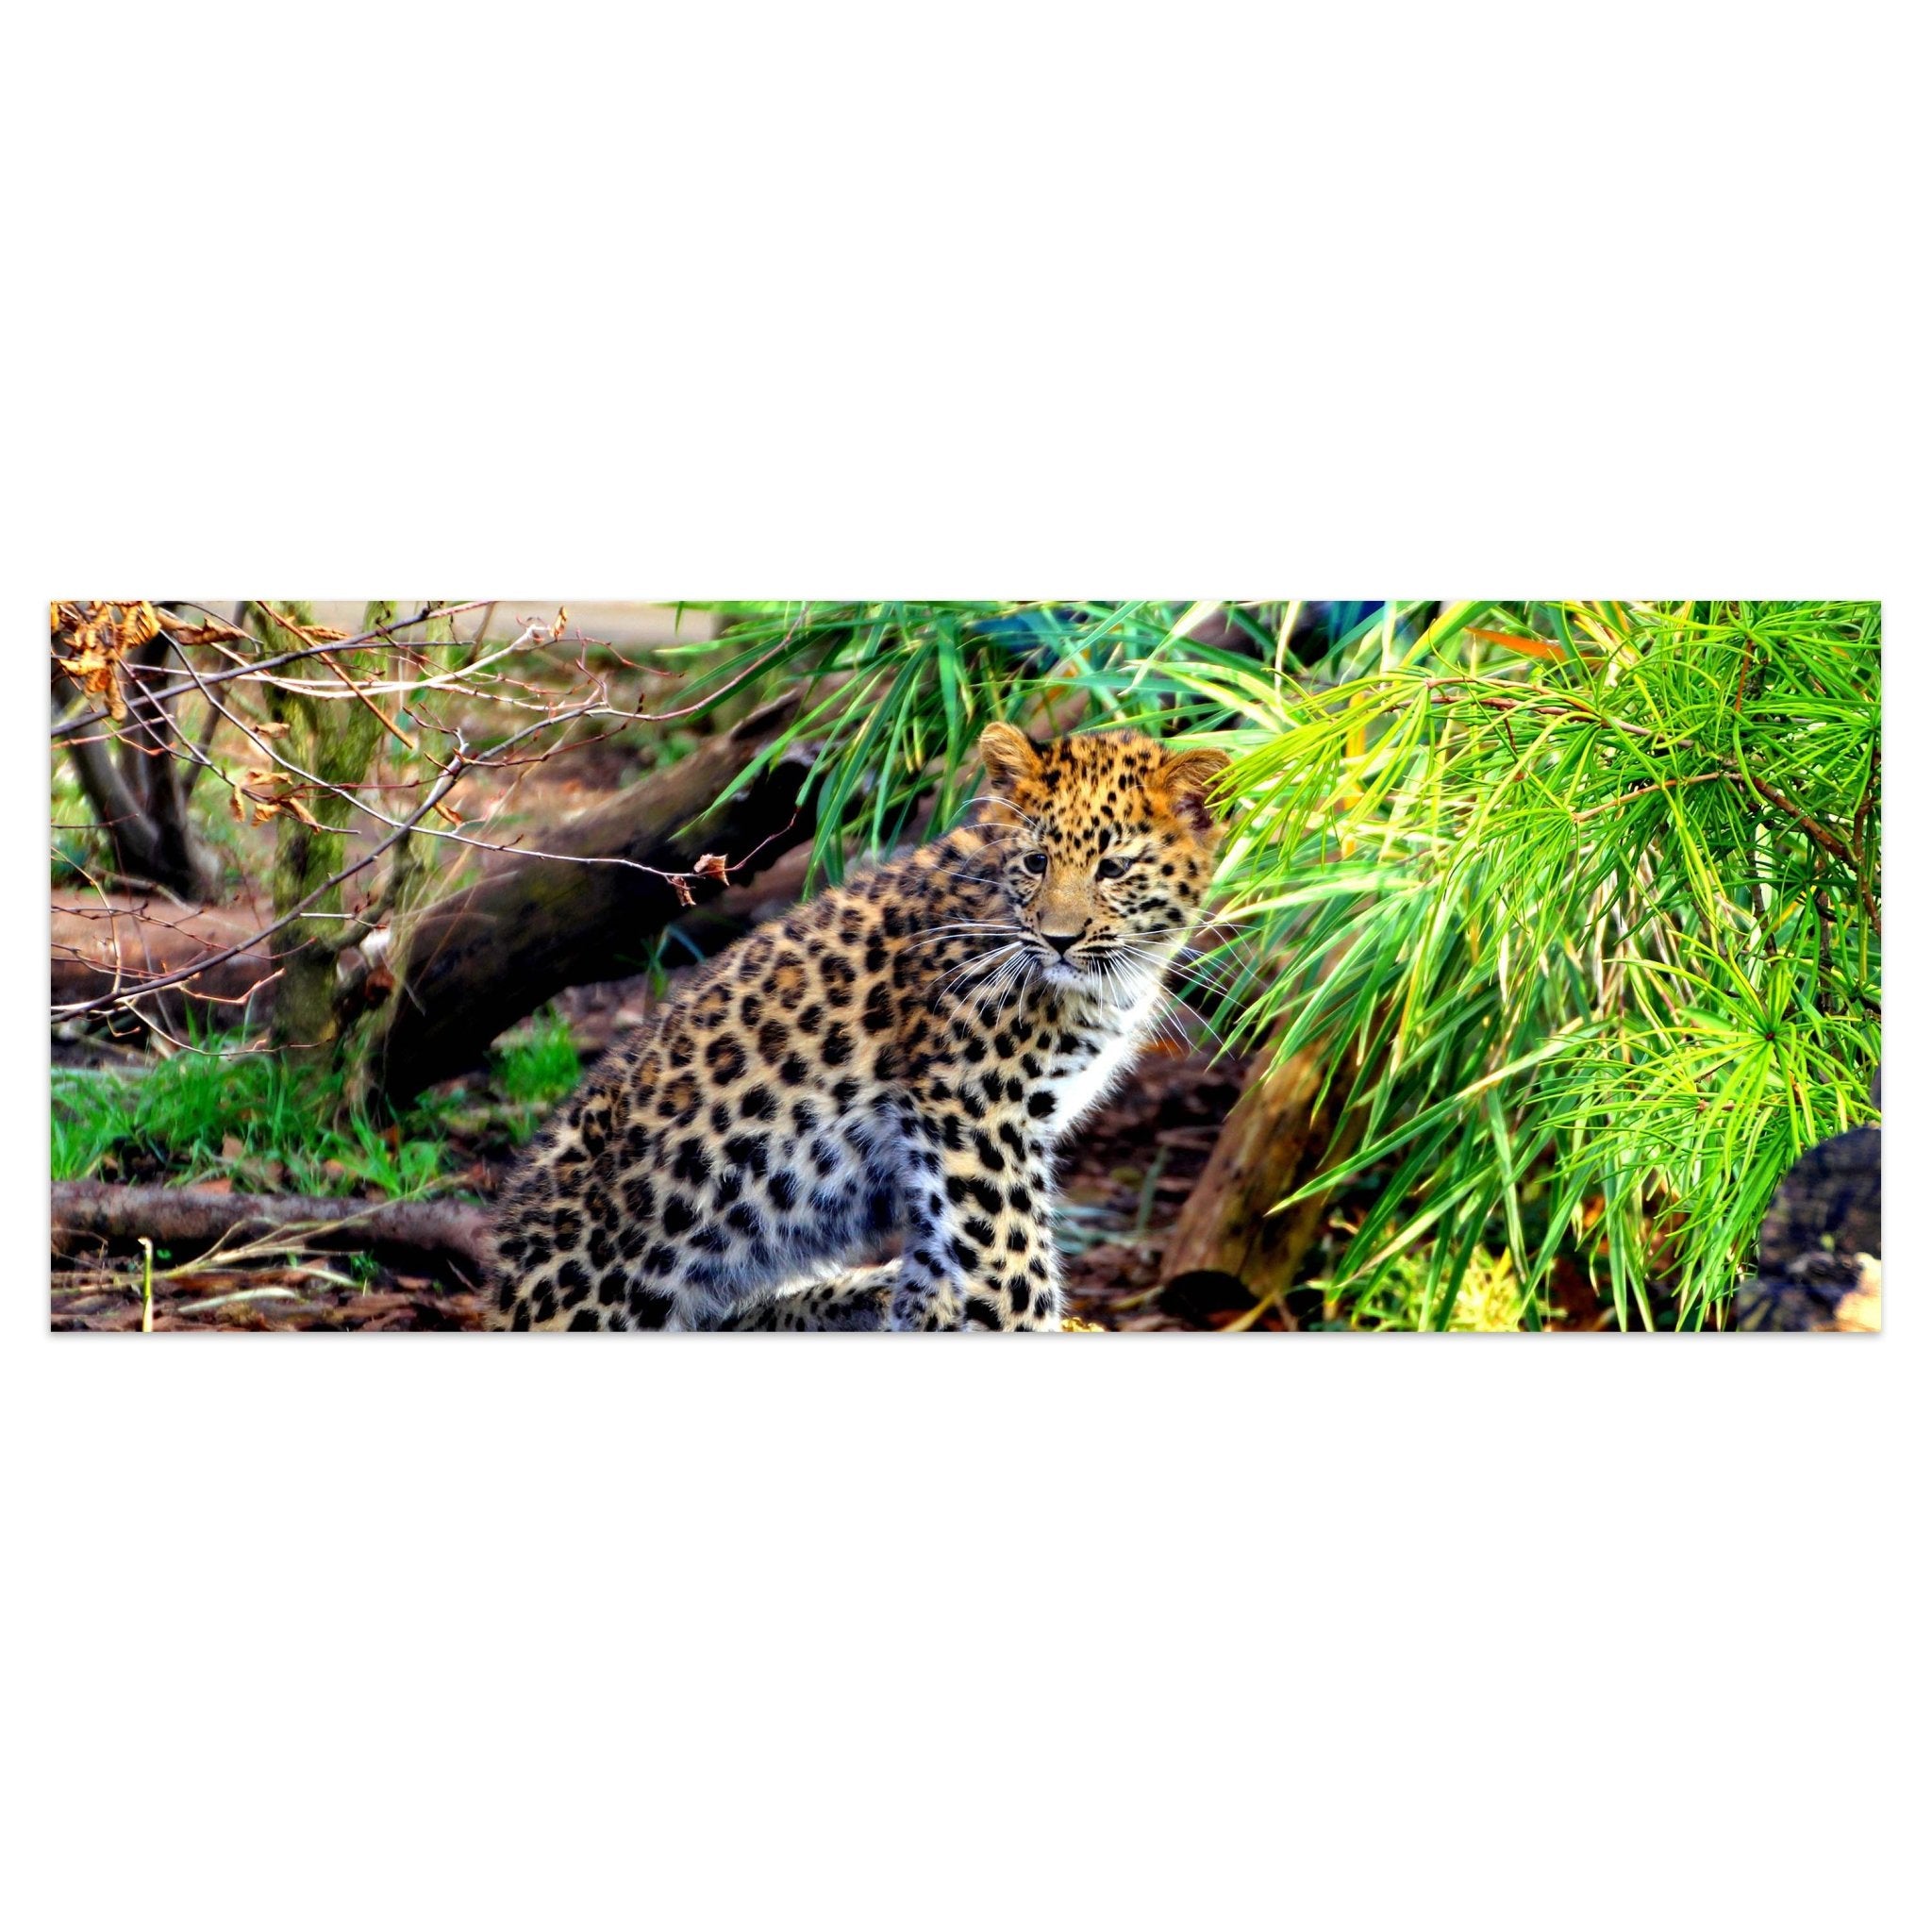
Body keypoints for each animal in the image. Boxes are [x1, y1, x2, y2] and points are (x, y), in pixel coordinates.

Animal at [486, 722, 1231, 1331]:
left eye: (1114, 868)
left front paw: (929, 1312)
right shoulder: (975, 1114)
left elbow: (945, 1258)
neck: (1112, 982)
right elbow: (1012, 1264)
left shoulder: (948, 1144)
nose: (1058, 939)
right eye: (1036, 861)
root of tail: (501, 1287)